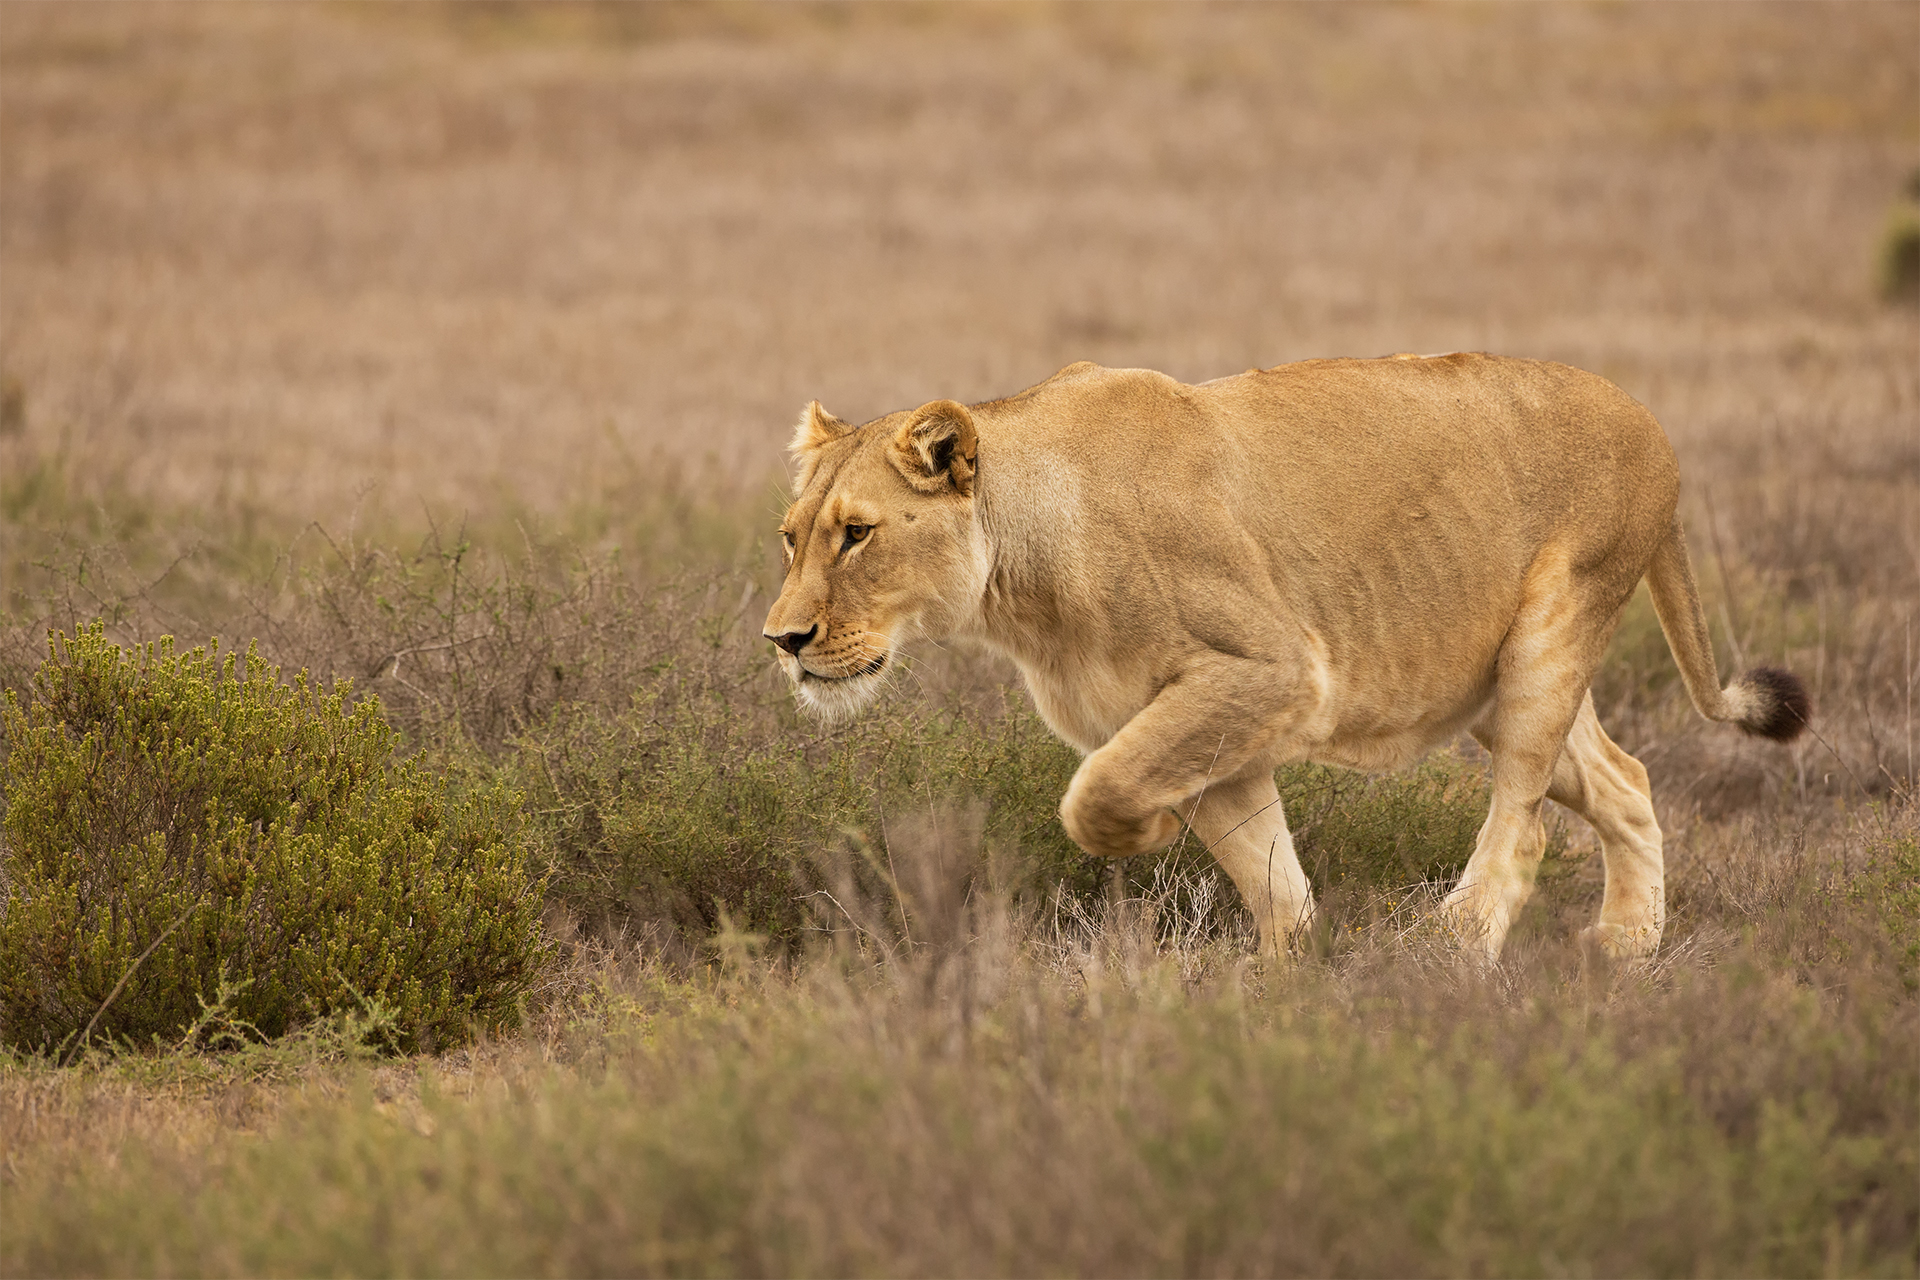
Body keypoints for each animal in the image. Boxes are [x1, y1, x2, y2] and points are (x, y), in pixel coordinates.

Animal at [763, 356, 1809, 963]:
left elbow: (1094, 795)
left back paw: (1459, 947)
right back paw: (1627, 955)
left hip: (1552, 636)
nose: (784, 641)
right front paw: (1285, 997)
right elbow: (1275, 884)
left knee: (1525, 824)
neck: (1019, 585)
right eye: (790, 538)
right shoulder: (1216, 729)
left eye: (856, 535)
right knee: (1626, 780)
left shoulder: (1270, 672)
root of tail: (1651, 422)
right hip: (1491, 681)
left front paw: (1147, 836)